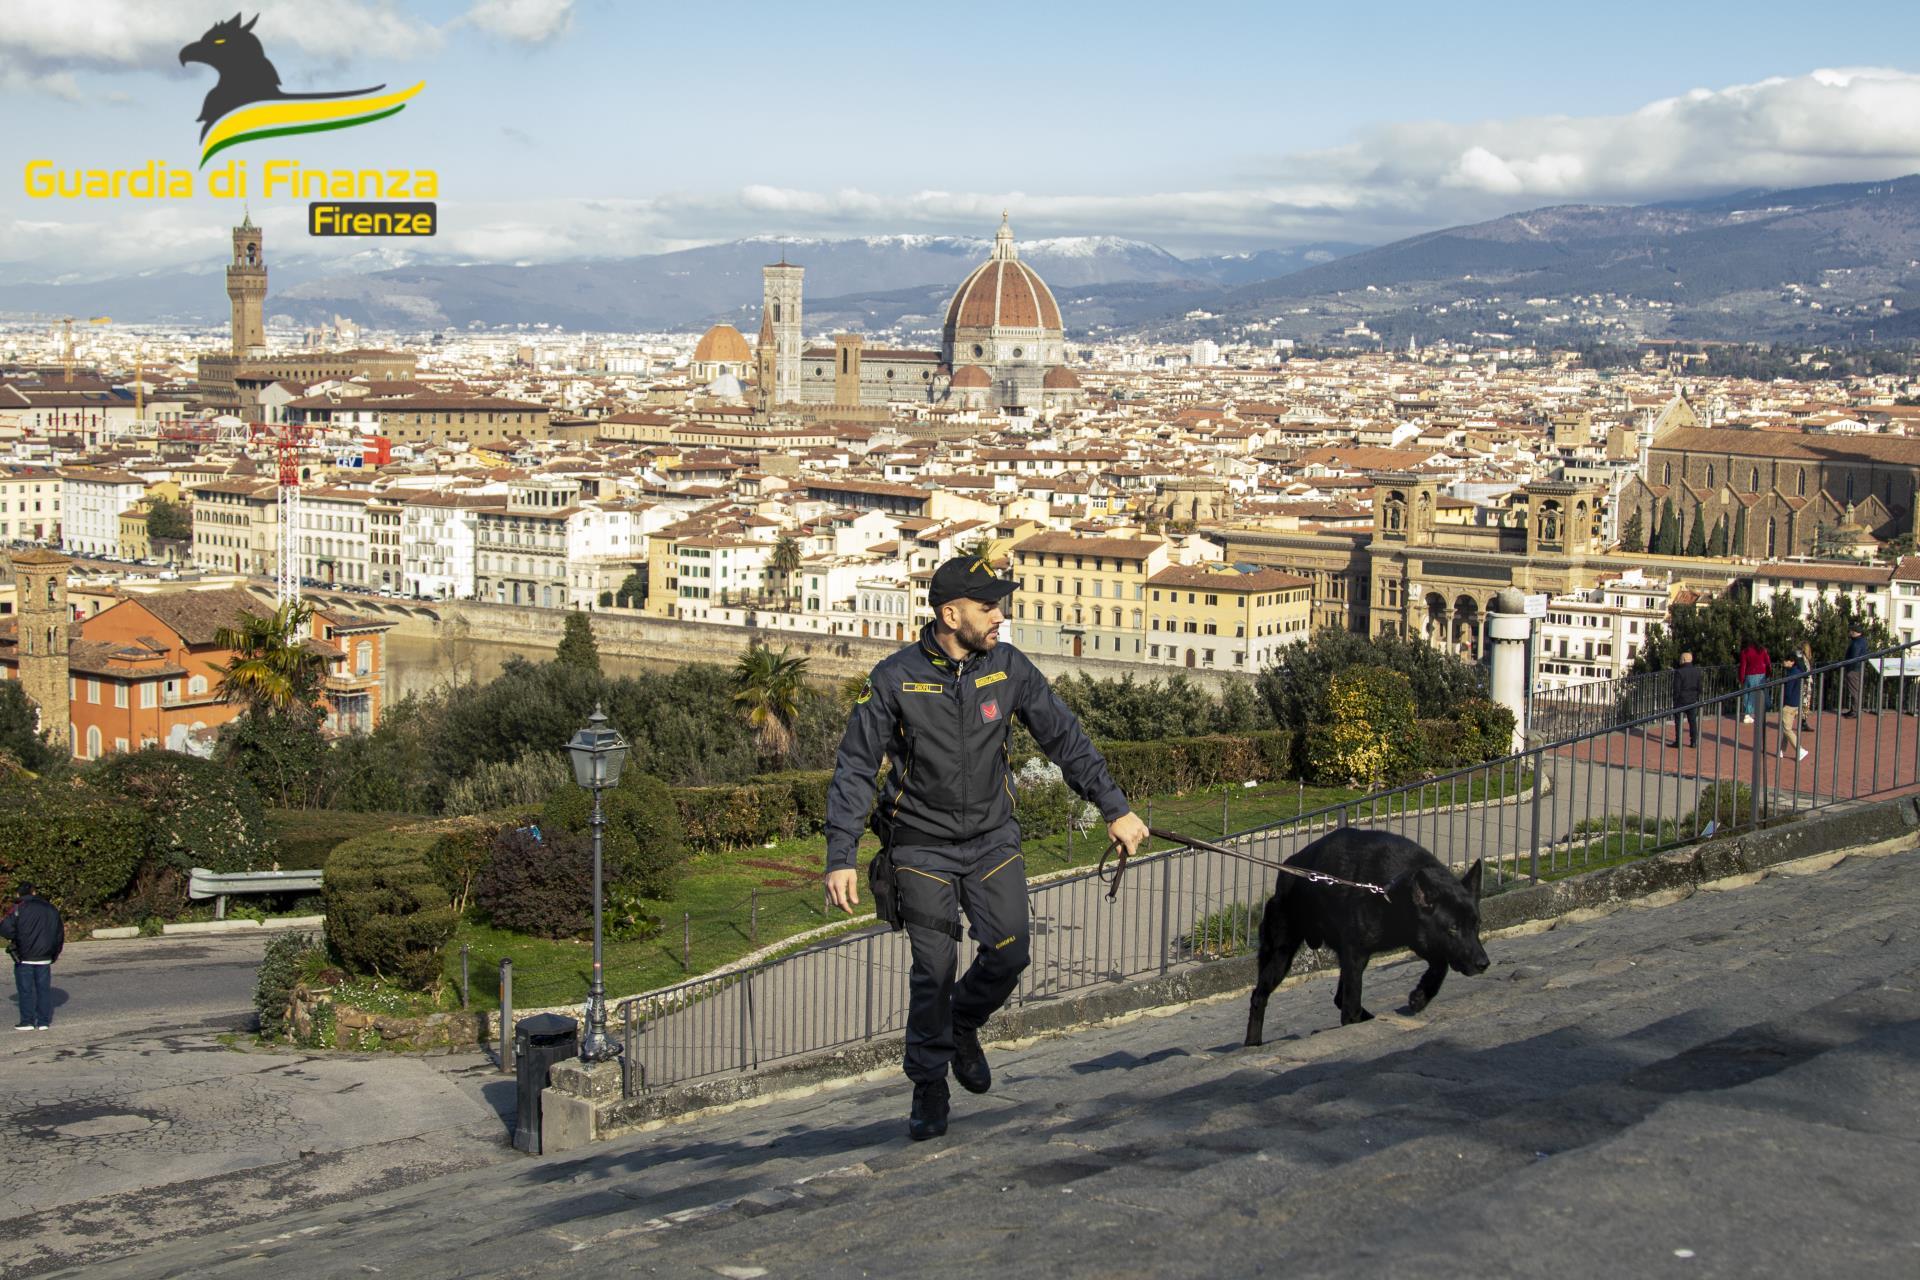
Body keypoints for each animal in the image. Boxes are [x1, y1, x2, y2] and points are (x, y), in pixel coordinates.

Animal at [1236, 825, 1489, 1043]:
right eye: (1453, 928)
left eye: (1477, 924)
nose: (1483, 964)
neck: (1393, 892)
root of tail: (1287, 870)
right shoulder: (1356, 955)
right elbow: (1351, 1004)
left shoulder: (1418, 938)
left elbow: (1441, 964)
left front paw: (1421, 995)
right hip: (1281, 955)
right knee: (1259, 996)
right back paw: (1253, 1043)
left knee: (1339, 996)